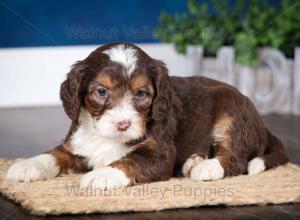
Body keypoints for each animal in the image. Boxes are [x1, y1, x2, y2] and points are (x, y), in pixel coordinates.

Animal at [5, 42, 288, 189]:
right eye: (101, 91)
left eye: (141, 93)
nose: (122, 124)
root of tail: (262, 123)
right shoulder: (77, 144)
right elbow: (54, 154)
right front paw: (26, 165)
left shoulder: (159, 154)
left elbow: (129, 161)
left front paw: (101, 175)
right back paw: (193, 161)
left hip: (231, 113)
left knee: (236, 158)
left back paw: (205, 167)